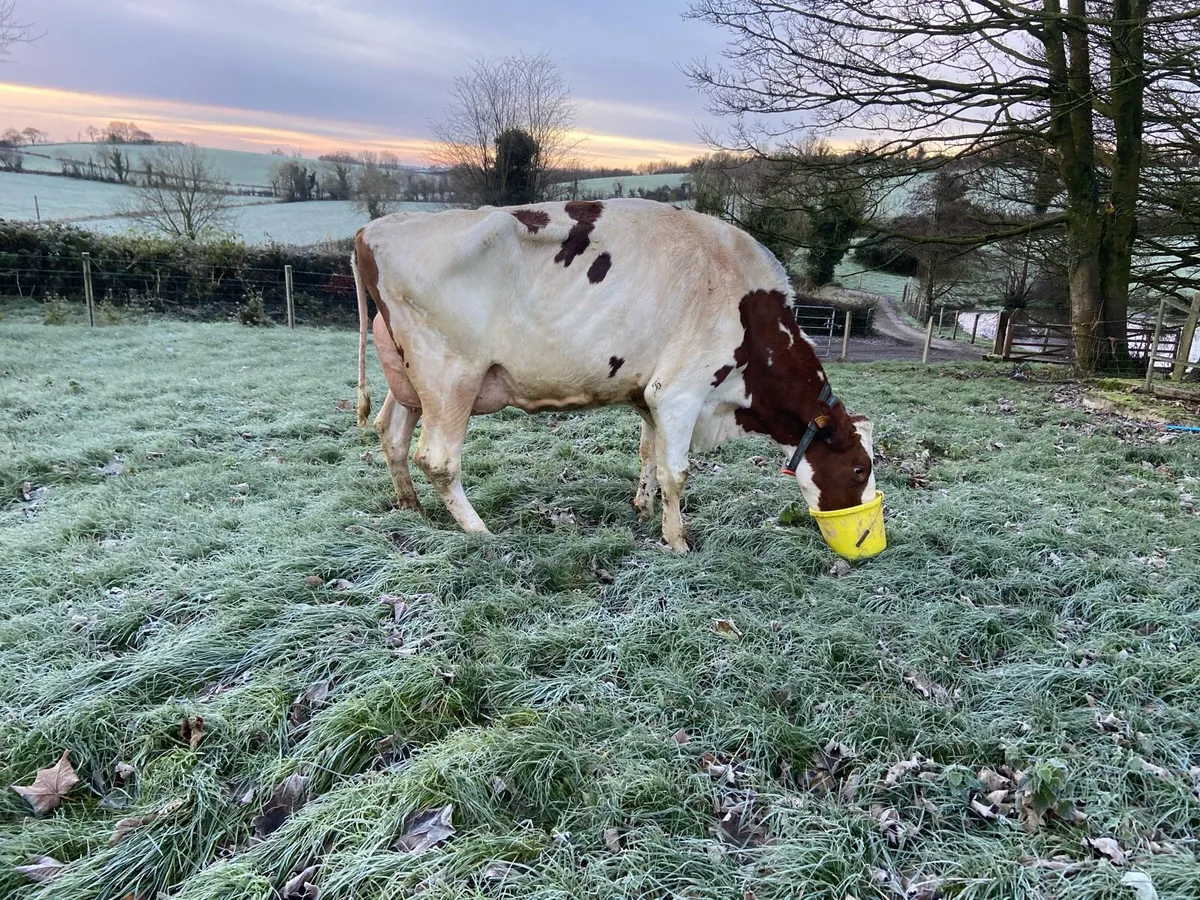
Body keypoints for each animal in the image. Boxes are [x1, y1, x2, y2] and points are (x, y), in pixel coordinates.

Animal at [353, 198, 875, 552]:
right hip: (450, 377)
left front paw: (642, 510)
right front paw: (677, 540)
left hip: (408, 380)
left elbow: (648, 454)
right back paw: (479, 531)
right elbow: (676, 472)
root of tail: (376, 229)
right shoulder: (680, 392)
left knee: (390, 433)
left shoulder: (649, 394)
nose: (865, 533)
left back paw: (412, 509)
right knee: (437, 458)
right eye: (859, 468)